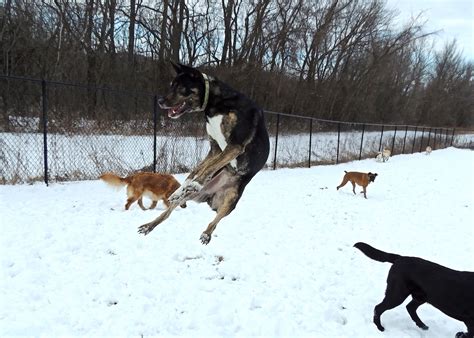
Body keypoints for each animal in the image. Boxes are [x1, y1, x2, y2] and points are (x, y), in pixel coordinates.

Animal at [139, 62, 268, 244]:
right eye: (172, 85)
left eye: (180, 87)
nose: (160, 101)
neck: (215, 103)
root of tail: (212, 199)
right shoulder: (215, 149)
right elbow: (196, 171)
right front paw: (182, 188)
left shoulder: (234, 146)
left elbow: (208, 169)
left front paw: (195, 183)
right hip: (194, 197)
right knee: (168, 213)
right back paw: (150, 225)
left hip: (231, 198)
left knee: (215, 222)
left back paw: (206, 234)